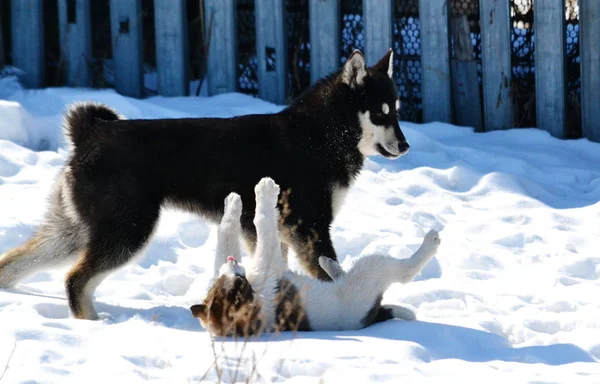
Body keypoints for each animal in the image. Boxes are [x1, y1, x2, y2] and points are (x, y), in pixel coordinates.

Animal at [0, 48, 410, 320]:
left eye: (397, 110)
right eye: (380, 114)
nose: (405, 146)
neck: (322, 134)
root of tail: (88, 133)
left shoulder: (275, 231)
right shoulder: (308, 227)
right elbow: (329, 273)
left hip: (74, 231)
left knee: (18, 262)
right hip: (126, 231)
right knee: (76, 280)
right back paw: (92, 323)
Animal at [192, 177, 440, 336]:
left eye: (219, 284)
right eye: (238, 284)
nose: (232, 262)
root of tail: (374, 314)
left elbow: (226, 234)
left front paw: (232, 202)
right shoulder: (267, 266)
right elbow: (262, 220)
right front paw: (265, 190)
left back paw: (328, 264)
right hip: (369, 273)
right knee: (406, 272)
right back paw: (431, 240)